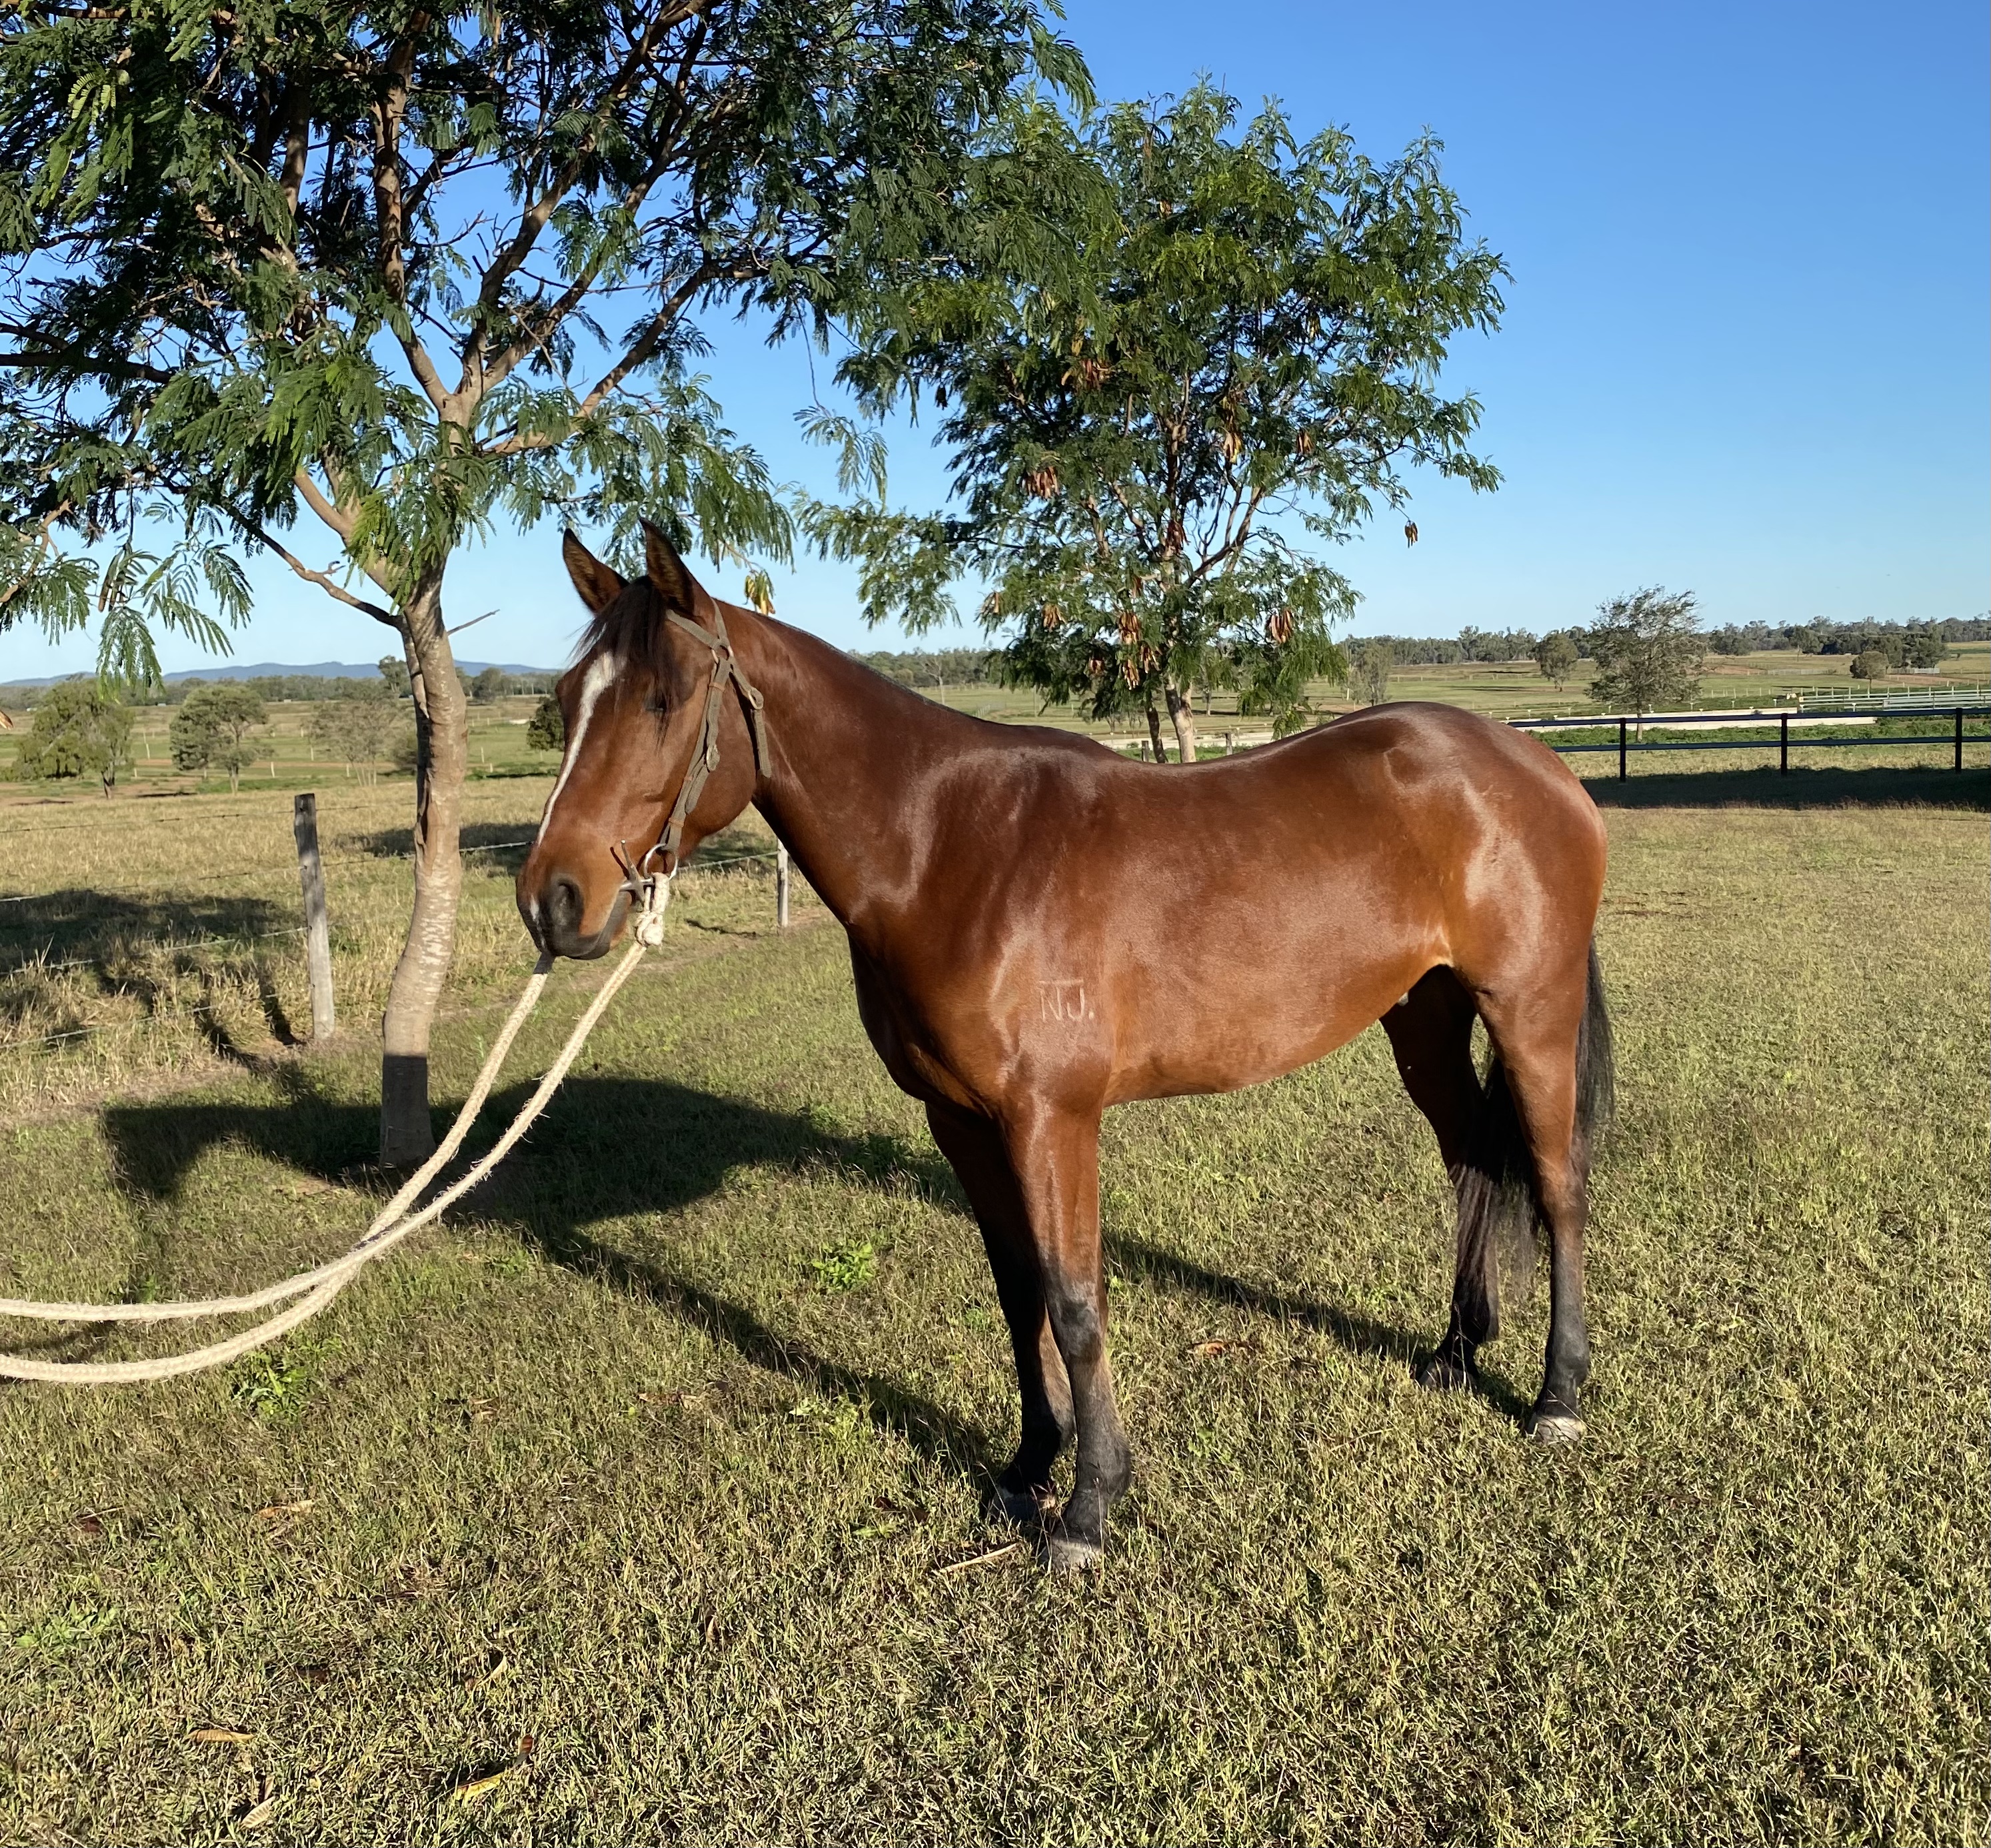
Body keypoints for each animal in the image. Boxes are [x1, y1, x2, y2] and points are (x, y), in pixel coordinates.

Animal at [519, 523, 1614, 1571]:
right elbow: (1018, 1296)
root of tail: (1535, 765)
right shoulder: (961, 1121)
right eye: (567, 701)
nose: (551, 900)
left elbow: (1075, 1300)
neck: (950, 852)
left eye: (661, 701)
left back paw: (1556, 1396)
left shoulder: (1053, 1119)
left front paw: (1088, 1508)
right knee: (1472, 1161)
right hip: (1422, 1019)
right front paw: (1025, 1468)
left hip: (1529, 1011)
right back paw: (1456, 1353)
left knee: (1556, 1183)